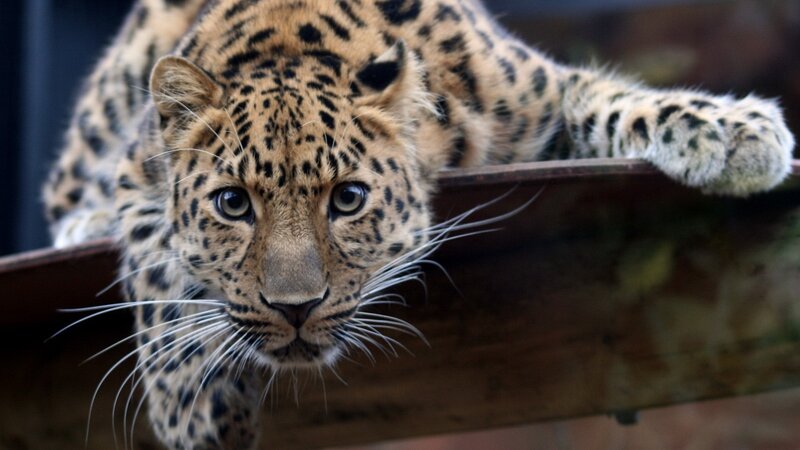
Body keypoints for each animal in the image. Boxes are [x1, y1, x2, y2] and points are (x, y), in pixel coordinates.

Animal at [42, 0, 795, 448]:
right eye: (233, 205)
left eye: (348, 199)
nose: (295, 308)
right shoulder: (138, 176)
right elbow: (159, 275)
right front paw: (193, 412)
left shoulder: (541, 95)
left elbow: (615, 101)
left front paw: (735, 132)